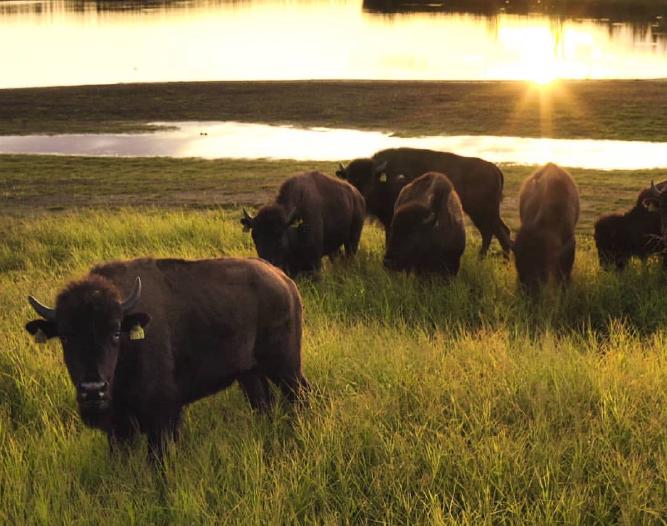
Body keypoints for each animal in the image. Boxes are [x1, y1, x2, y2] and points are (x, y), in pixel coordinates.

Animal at [24, 258, 306, 460]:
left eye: (115, 332)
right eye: (65, 336)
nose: (93, 390)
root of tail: (283, 280)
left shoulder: (162, 417)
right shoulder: (118, 427)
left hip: (286, 368)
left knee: (300, 396)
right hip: (249, 374)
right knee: (263, 403)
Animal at [336, 148, 516, 258]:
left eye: (369, 179)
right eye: (349, 178)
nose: (357, 194)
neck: (386, 178)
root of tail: (495, 169)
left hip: (484, 212)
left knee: (497, 232)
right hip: (482, 213)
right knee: (496, 232)